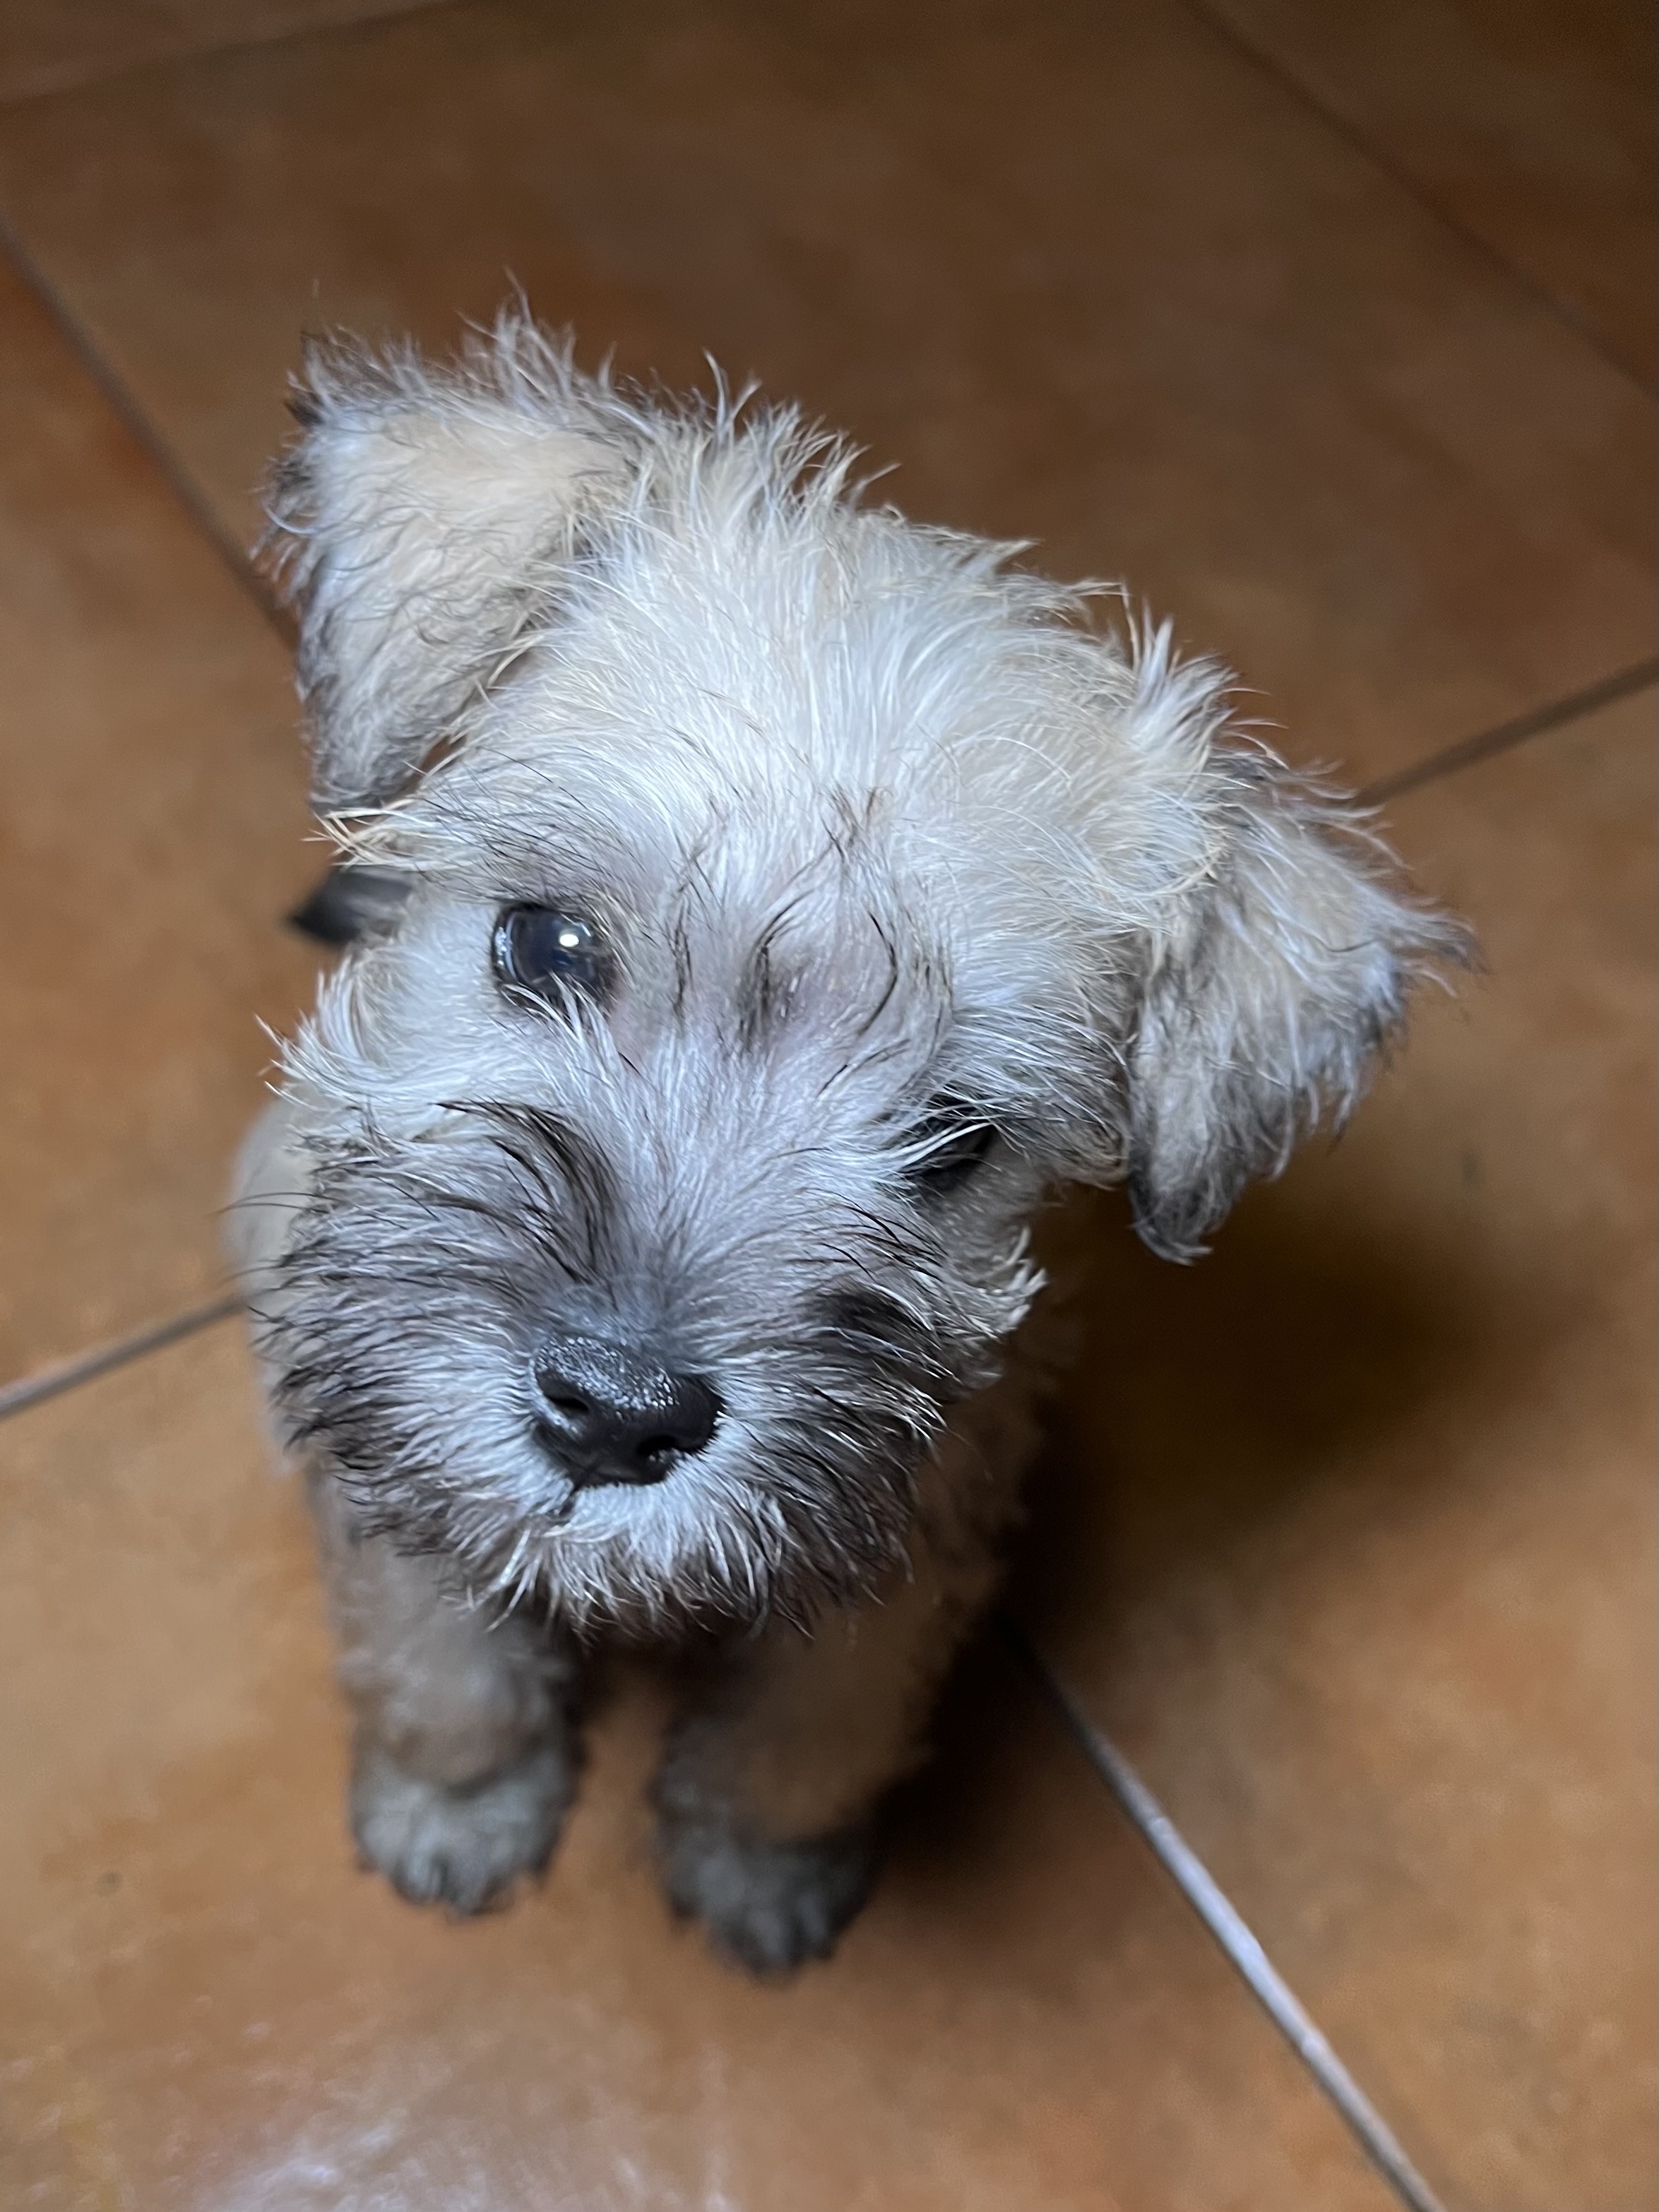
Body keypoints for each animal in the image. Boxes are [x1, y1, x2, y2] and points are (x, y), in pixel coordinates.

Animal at [237, 311, 1468, 1973]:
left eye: (951, 1139)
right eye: (545, 942)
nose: (615, 1419)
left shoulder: (914, 1525)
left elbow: (814, 1722)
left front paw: (761, 1864)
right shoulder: (376, 1454)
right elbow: (438, 1655)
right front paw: (458, 1802)